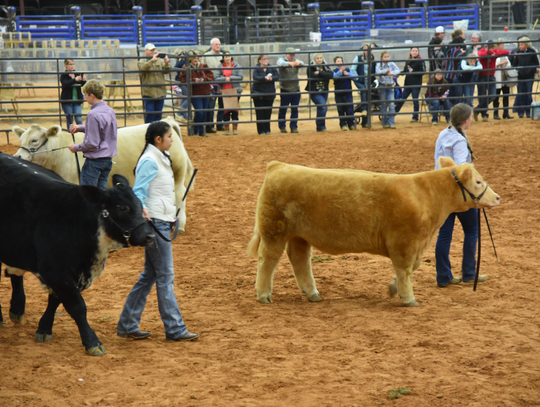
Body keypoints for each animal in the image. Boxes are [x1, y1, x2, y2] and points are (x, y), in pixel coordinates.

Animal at [12, 117, 195, 233]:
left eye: (34, 140)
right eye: (21, 139)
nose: (18, 157)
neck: (60, 153)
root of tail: (168, 121)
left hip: (177, 173)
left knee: (180, 194)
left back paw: (180, 224)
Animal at [247, 159, 500, 306]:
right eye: (478, 181)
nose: (497, 197)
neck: (425, 194)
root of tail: (278, 165)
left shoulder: (415, 245)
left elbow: (411, 268)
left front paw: (394, 288)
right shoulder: (404, 242)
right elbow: (405, 269)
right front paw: (408, 298)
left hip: (300, 235)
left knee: (299, 260)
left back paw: (313, 294)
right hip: (274, 230)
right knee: (267, 260)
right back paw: (263, 295)